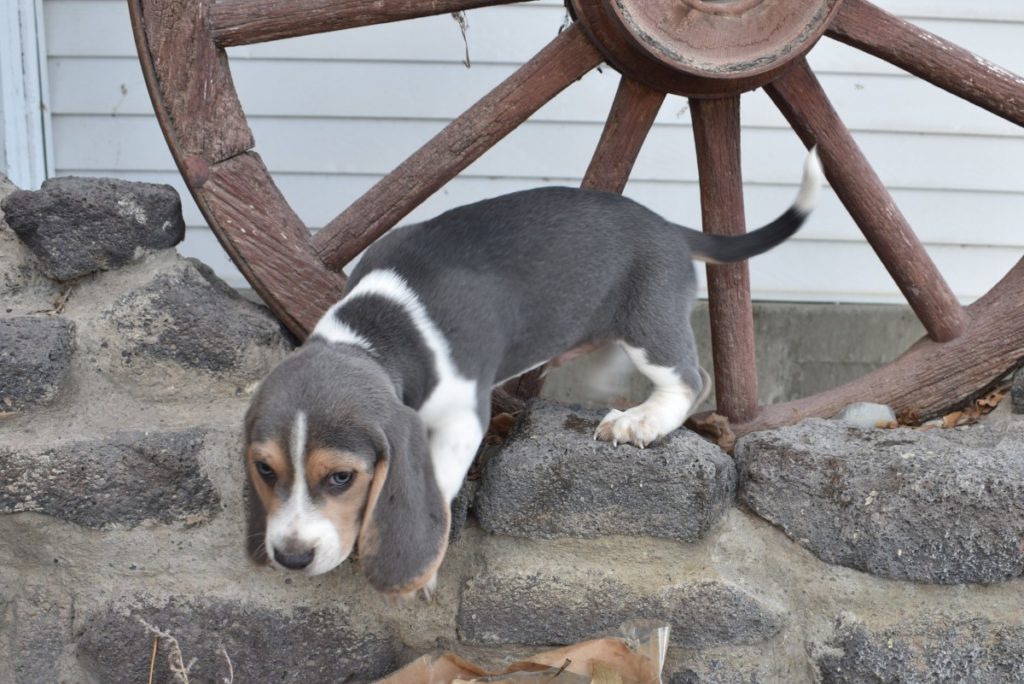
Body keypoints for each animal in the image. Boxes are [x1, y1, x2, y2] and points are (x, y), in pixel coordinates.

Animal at [241, 149, 823, 597]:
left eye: (341, 477)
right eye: (265, 470)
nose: (290, 557)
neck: (378, 328)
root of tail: (667, 227)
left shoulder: (462, 417)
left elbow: (437, 480)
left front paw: (420, 569)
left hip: (648, 322)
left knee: (690, 377)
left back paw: (641, 420)